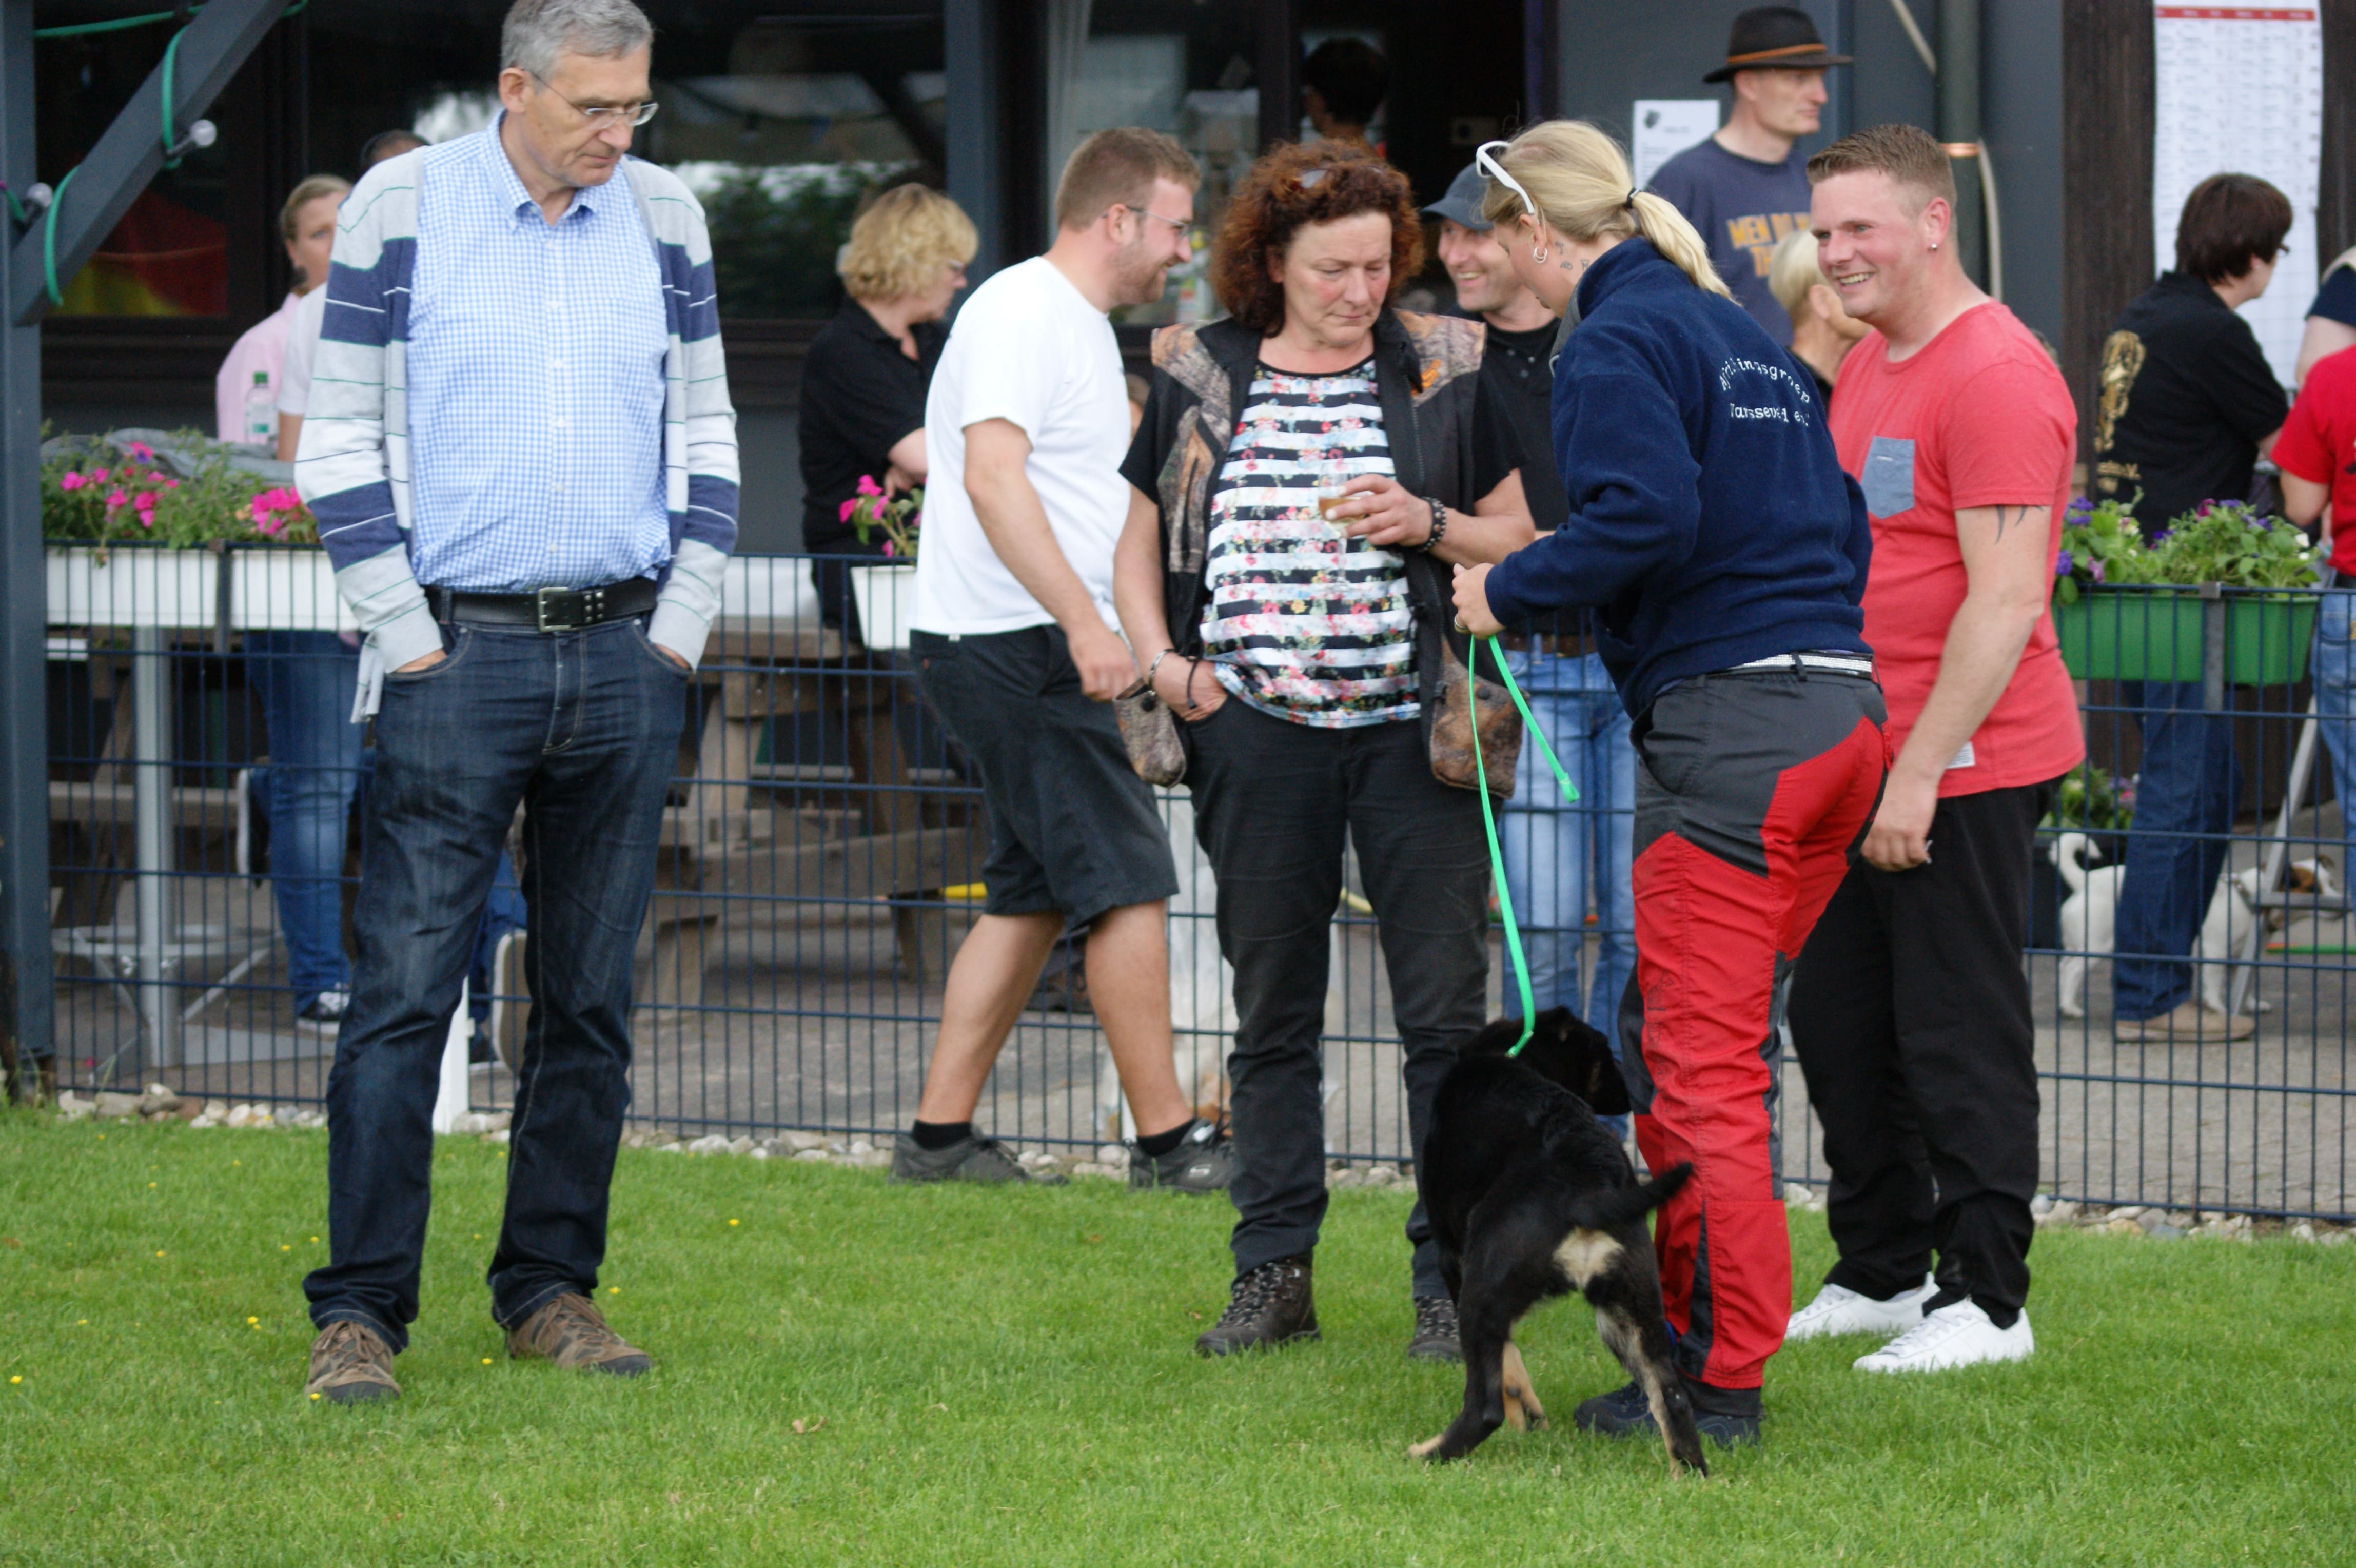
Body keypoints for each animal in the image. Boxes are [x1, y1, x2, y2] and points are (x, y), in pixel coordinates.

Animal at [1413, 1007, 1705, 1476]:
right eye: (1604, 1056)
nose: (1632, 1091)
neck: (1513, 1053)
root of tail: (1590, 1188)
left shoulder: (1451, 1256)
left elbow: (1508, 1362)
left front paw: (1522, 1411)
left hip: (1484, 1282)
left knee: (1484, 1408)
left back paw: (1430, 1453)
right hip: (1633, 1308)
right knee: (1673, 1397)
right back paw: (1692, 1476)